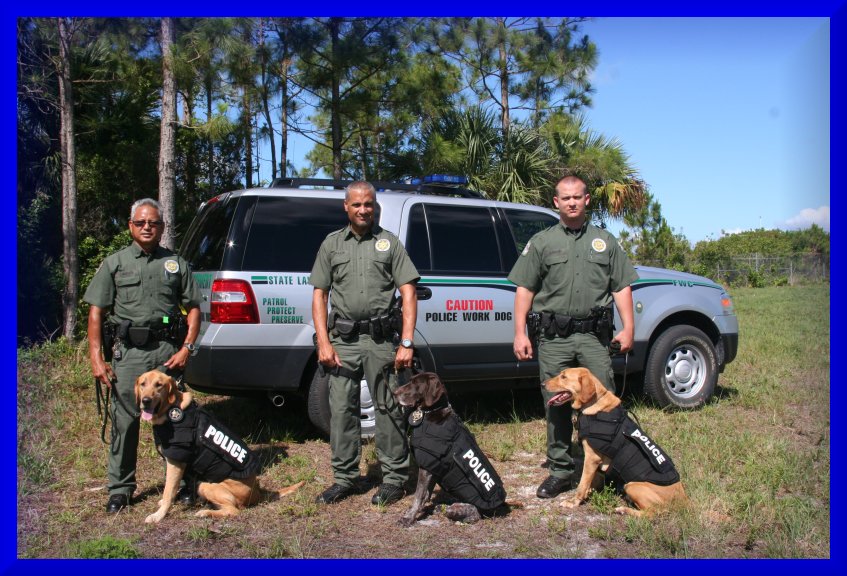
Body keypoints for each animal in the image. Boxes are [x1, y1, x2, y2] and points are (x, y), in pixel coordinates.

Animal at [135, 370, 303, 523]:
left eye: (159, 385)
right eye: (143, 384)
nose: (146, 400)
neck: (170, 409)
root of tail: (258, 492)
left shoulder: (176, 462)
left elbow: (168, 491)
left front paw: (158, 515)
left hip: (206, 485)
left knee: (233, 510)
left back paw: (205, 512)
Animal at [393, 372, 508, 526]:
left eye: (416, 384)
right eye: (410, 380)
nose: (394, 393)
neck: (432, 411)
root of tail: (497, 508)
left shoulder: (427, 465)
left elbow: (418, 495)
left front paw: (409, 517)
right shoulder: (433, 469)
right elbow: (425, 494)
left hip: (467, 509)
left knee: (471, 515)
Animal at [544, 367, 687, 517]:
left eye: (564, 377)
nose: (542, 384)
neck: (595, 403)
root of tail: (683, 500)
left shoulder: (591, 458)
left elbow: (582, 484)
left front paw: (574, 501)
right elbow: (591, 482)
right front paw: (588, 494)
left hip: (632, 486)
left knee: (652, 513)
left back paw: (624, 509)